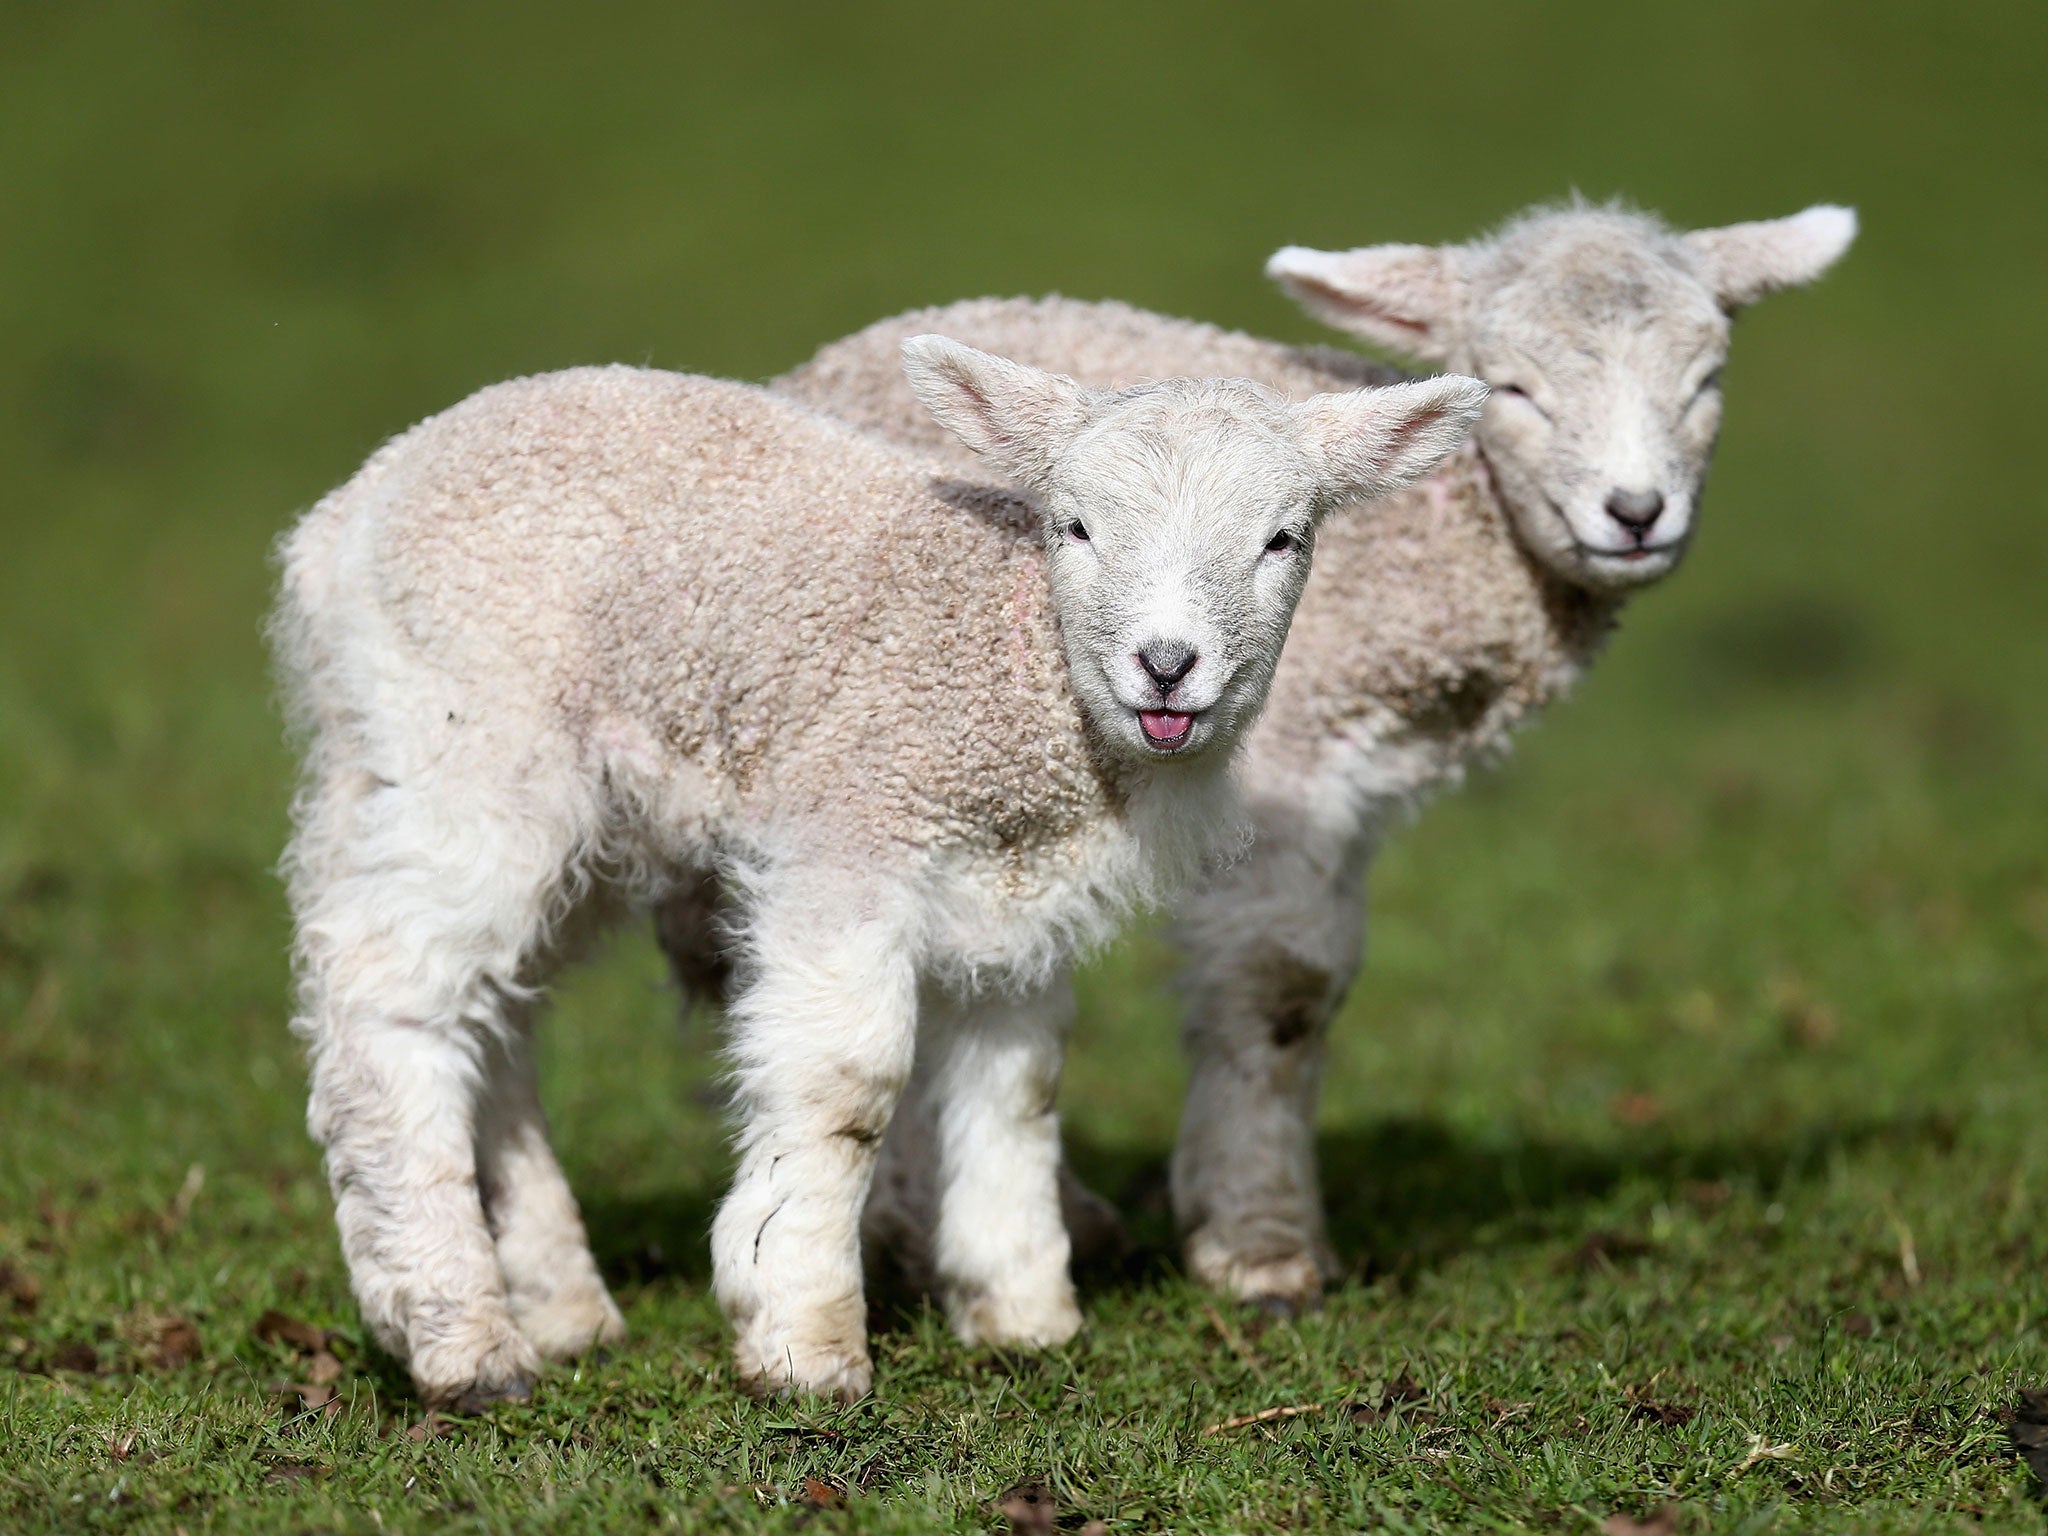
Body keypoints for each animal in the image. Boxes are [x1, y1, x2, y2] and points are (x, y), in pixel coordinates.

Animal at [276, 342, 1490, 1417]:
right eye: (1076, 525)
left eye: (1283, 538)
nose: (1166, 665)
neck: (1011, 664)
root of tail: (340, 521)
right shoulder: (849, 835)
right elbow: (846, 1090)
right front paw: (801, 1337)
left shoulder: (1020, 893)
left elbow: (1018, 1083)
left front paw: (1021, 1311)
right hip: (469, 743)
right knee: (391, 996)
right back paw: (461, 1339)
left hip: (531, 796)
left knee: (496, 1012)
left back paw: (560, 1305)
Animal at [704, 201, 1859, 1310]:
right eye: (1515, 391)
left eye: (1705, 384)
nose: (1635, 514)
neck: (1433, 539)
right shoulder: (1285, 769)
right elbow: (1280, 988)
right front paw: (1259, 1244)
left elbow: (1323, 981)